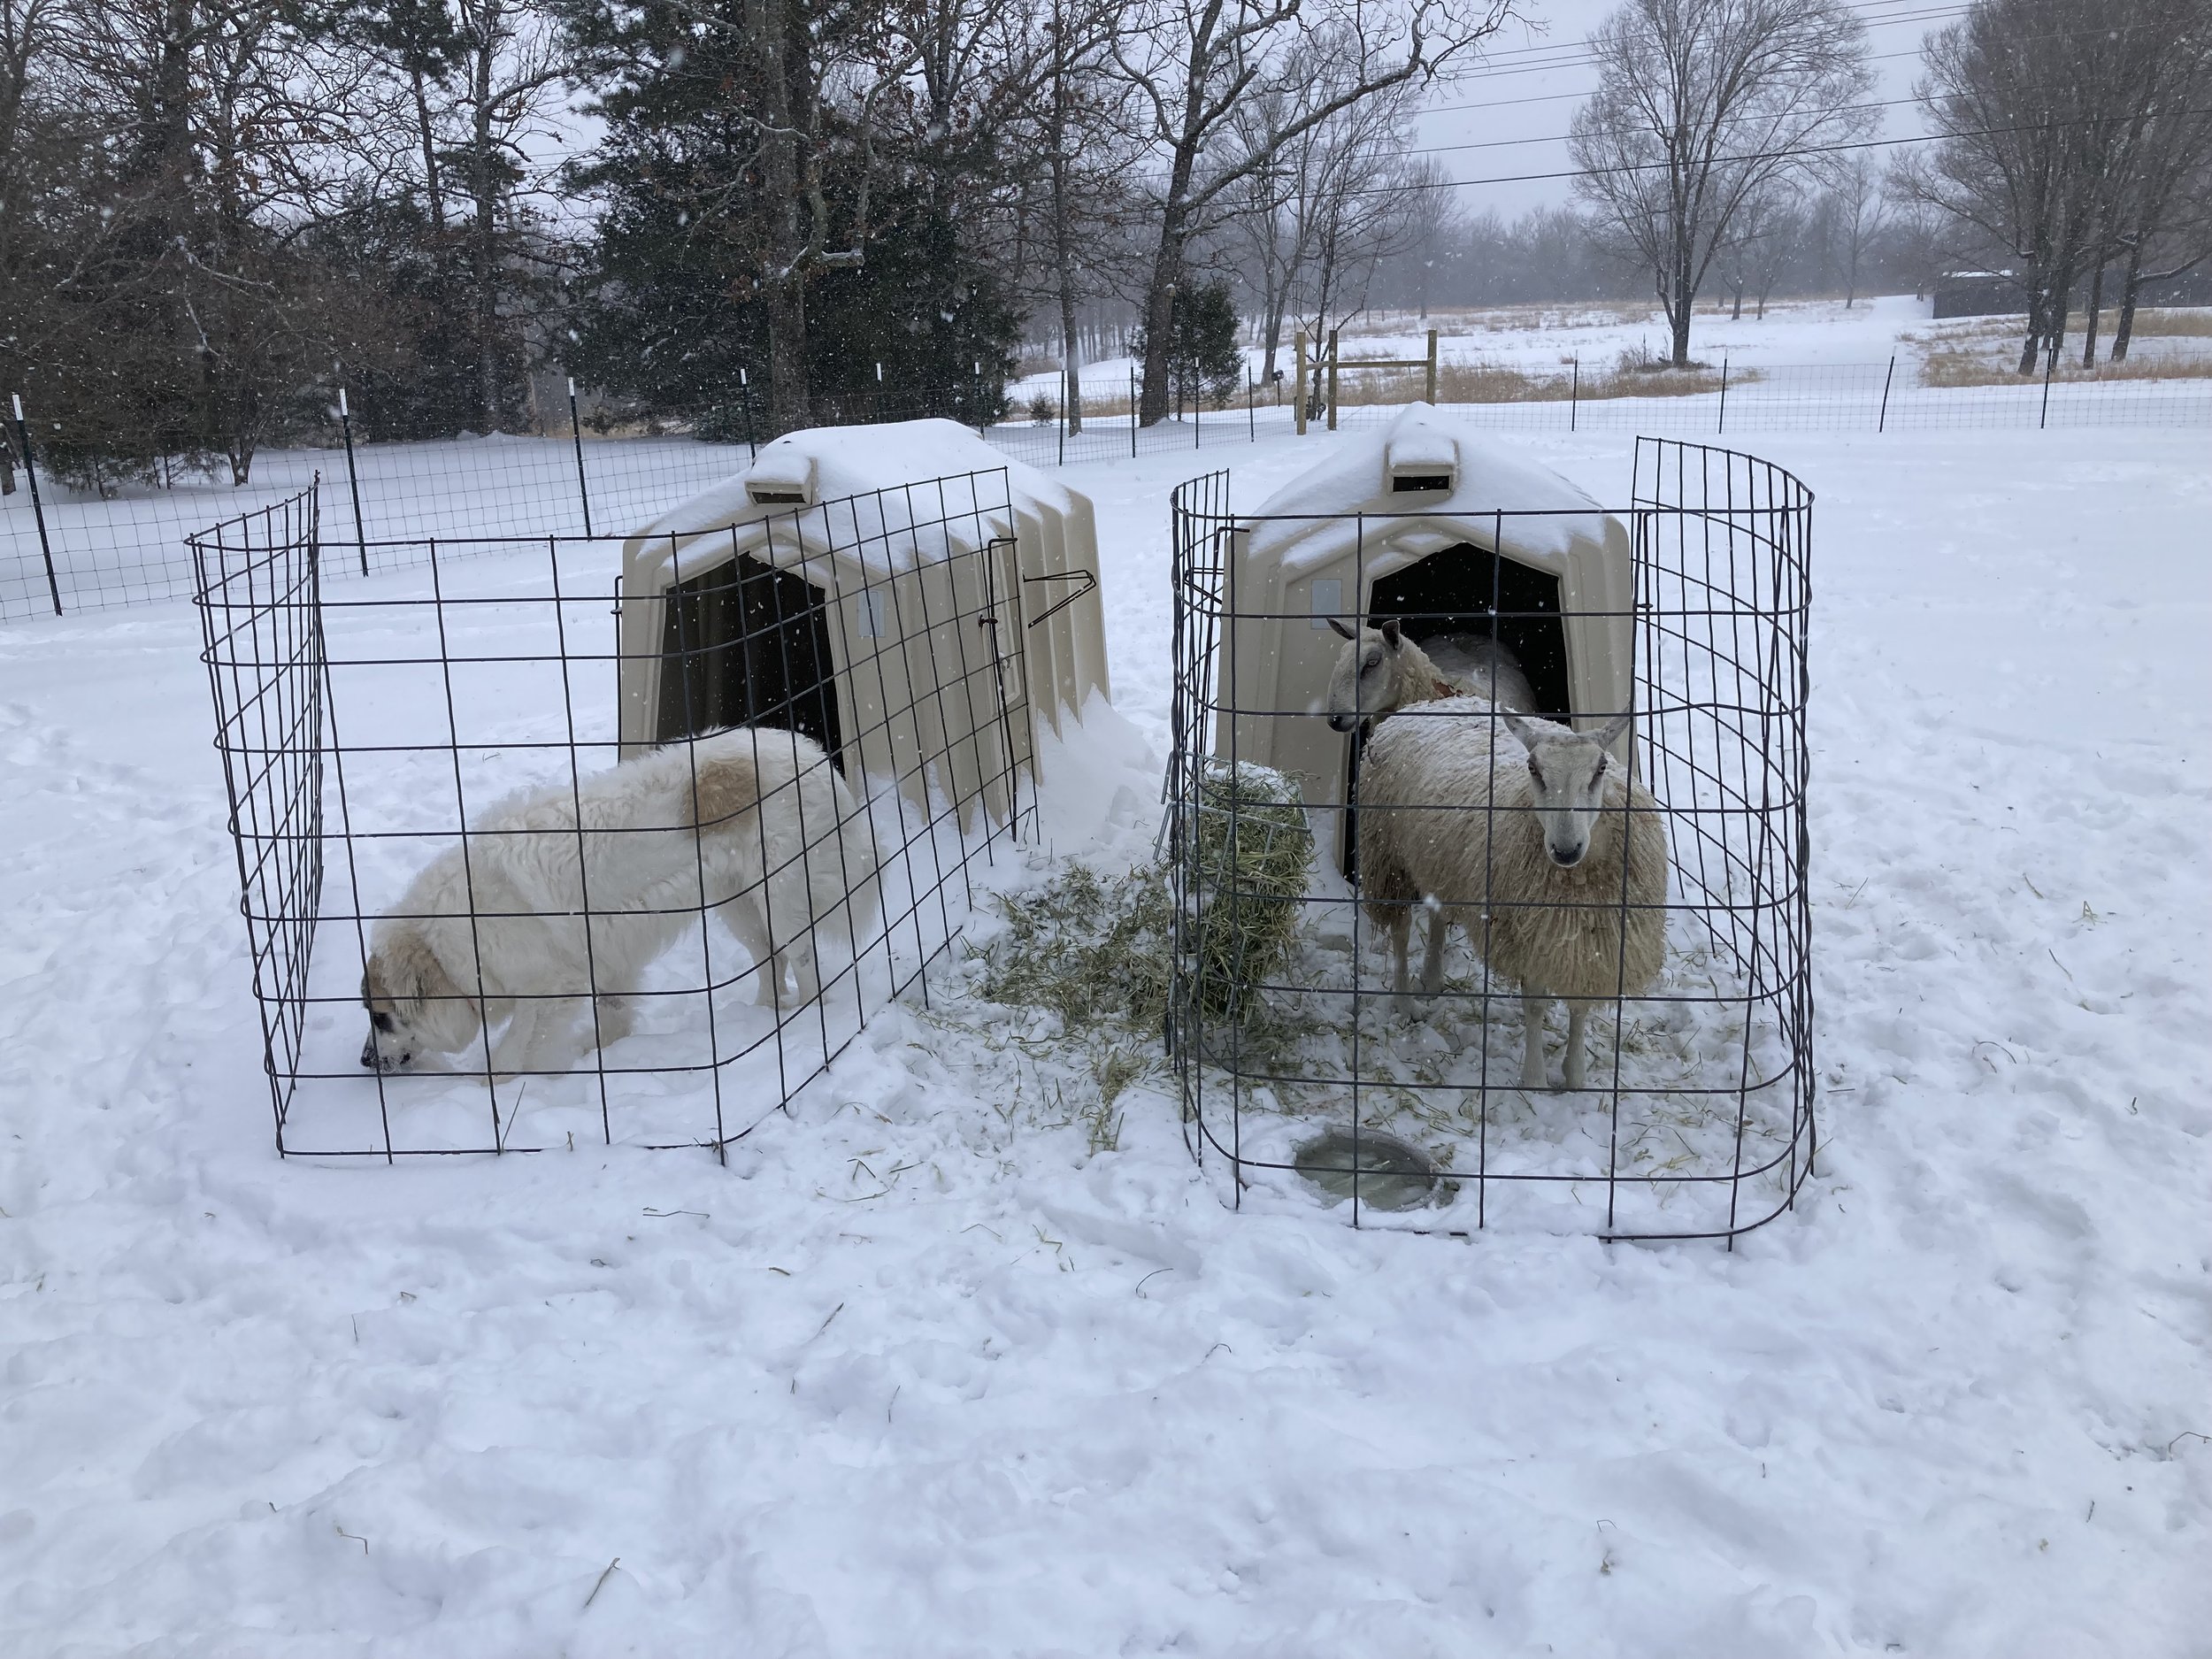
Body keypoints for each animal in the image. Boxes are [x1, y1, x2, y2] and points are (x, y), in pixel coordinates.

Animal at [358, 726, 876, 1079]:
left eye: (381, 1017)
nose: (364, 1061)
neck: (445, 944)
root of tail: (811, 754)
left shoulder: (551, 989)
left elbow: (509, 1054)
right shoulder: (604, 957)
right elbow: (613, 1015)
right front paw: (601, 1053)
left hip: (781, 898)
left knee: (803, 961)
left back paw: (806, 1018)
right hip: (738, 904)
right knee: (770, 957)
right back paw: (764, 1015)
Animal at [1354, 708, 1663, 1097]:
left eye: (1601, 768)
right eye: (1533, 768)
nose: (1565, 850)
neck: (1579, 876)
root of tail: (1415, 708)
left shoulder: (1594, 945)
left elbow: (1579, 1006)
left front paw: (1575, 1078)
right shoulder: (1525, 937)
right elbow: (1534, 1007)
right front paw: (1535, 1080)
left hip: (1441, 862)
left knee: (1437, 914)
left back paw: (1433, 979)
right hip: (1388, 855)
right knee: (1401, 929)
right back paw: (1406, 1001)